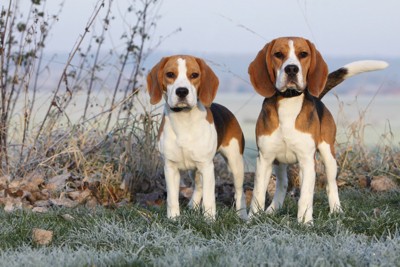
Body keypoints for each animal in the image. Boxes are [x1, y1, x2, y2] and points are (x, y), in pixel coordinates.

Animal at [147, 54, 247, 220]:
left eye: (194, 75)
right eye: (170, 74)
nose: (182, 91)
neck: (184, 120)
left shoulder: (207, 167)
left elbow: (209, 199)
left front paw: (210, 220)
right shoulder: (170, 167)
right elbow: (172, 198)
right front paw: (174, 219)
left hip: (235, 163)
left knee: (240, 192)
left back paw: (242, 214)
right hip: (194, 169)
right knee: (198, 187)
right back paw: (192, 206)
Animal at [248, 36, 390, 224]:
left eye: (303, 54)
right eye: (278, 54)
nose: (291, 69)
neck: (288, 102)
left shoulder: (307, 161)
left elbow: (305, 197)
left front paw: (305, 223)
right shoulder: (264, 159)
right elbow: (258, 193)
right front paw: (252, 219)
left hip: (328, 156)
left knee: (331, 185)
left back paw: (336, 211)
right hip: (278, 161)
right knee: (283, 183)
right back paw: (272, 209)